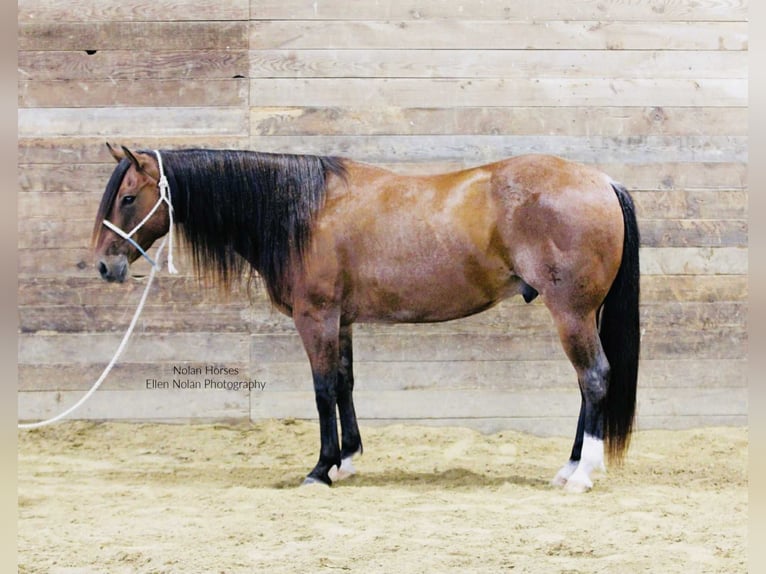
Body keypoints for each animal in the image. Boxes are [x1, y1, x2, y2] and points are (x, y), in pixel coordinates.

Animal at [92, 144, 640, 493]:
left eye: (128, 197)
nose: (103, 266)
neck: (303, 211)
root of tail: (603, 181)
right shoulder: (342, 320)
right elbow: (344, 383)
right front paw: (348, 460)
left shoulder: (315, 318)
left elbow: (321, 390)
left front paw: (319, 469)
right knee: (586, 384)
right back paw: (569, 467)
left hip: (571, 313)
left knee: (594, 378)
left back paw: (581, 475)